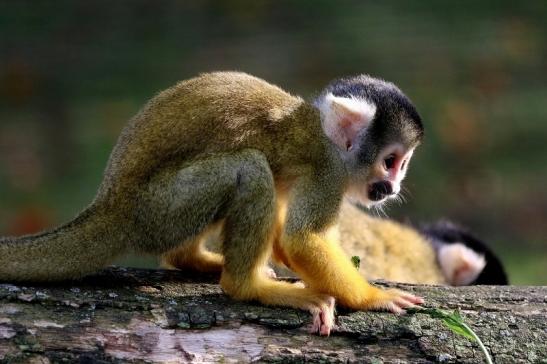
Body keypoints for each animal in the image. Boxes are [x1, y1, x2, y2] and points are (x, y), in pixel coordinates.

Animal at [0, 71, 426, 336]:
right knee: (250, 167)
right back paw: (246, 286)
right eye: (390, 161)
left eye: (402, 165)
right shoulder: (328, 171)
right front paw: (373, 298)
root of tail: (110, 203)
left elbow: (286, 235)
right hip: (158, 209)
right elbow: (302, 239)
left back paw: (196, 261)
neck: (324, 135)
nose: (392, 187)